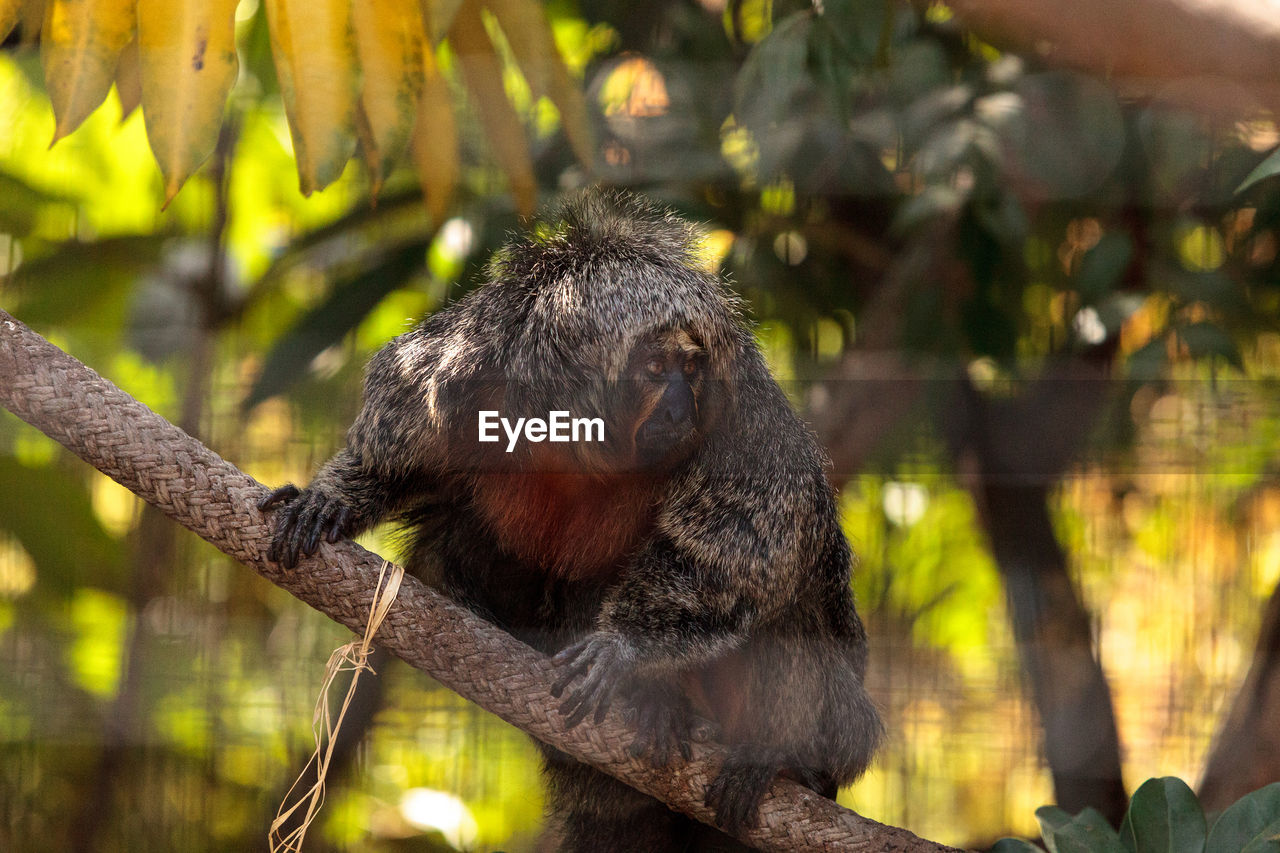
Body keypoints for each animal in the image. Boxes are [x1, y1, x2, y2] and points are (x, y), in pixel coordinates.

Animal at [257, 189, 880, 845]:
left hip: (840, 720)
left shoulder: (746, 419)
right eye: (656, 370)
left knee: (790, 607)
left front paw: (623, 648)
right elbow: (399, 448)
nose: (681, 405)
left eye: (692, 371)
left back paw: (770, 757)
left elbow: (738, 554)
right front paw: (336, 499)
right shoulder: (456, 367)